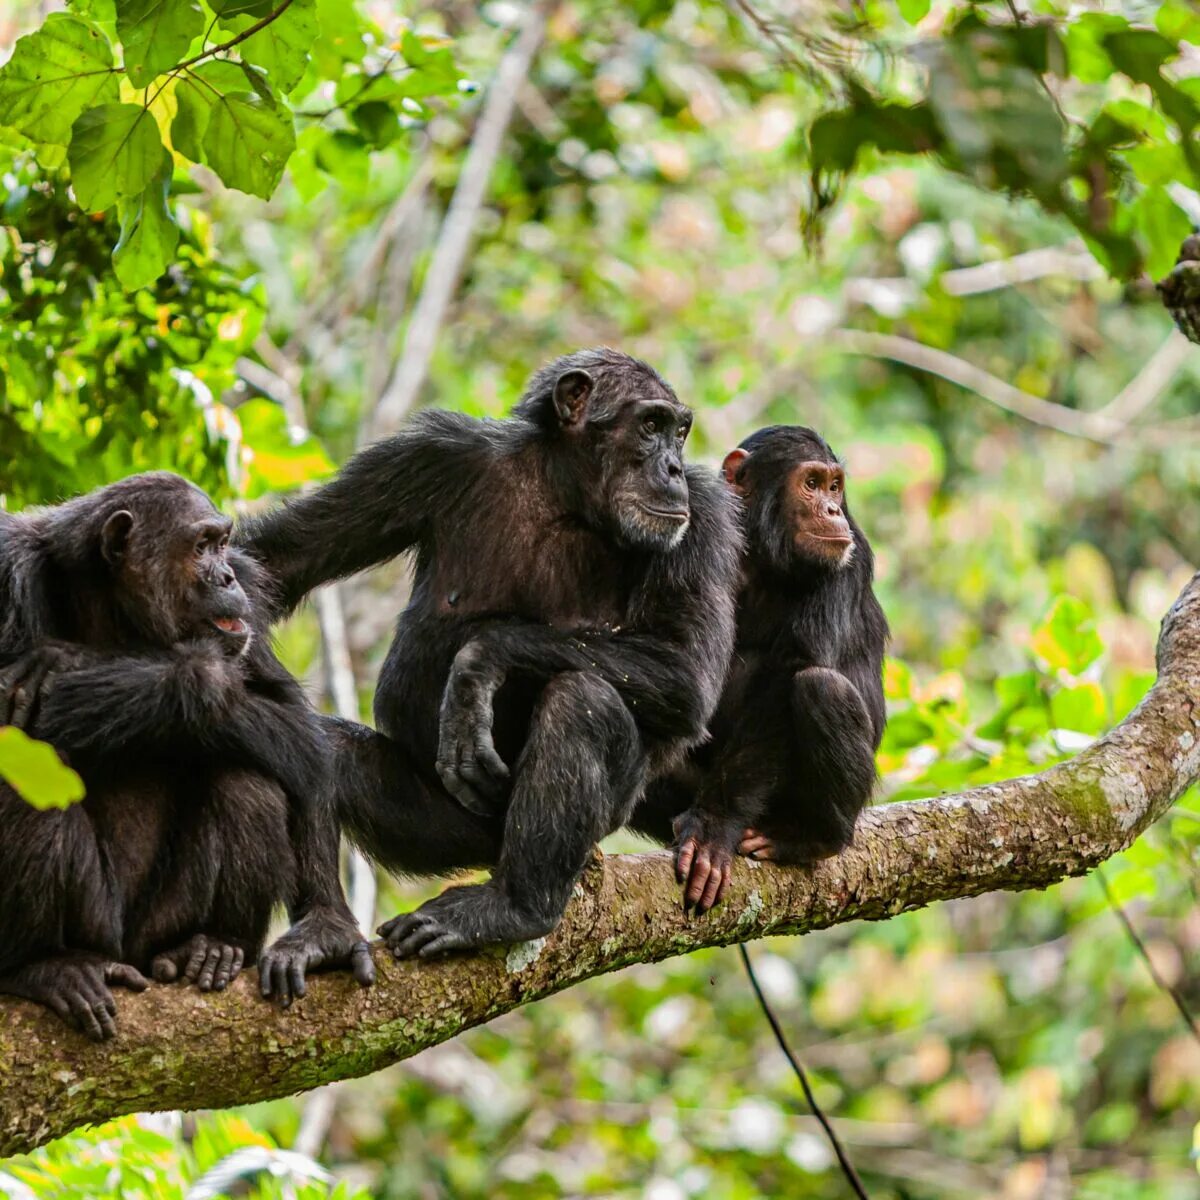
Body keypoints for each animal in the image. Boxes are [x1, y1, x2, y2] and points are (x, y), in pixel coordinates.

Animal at [0, 472, 372, 1036]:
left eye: (222, 544)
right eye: (200, 546)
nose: (226, 577)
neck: (111, 606)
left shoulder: (250, 602)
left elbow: (296, 728)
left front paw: (326, 928)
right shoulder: (7, 569)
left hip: (160, 926)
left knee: (247, 778)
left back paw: (212, 945)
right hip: (96, 927)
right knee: (25, 781)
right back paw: (45, 965)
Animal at [236, 348, 739, 964]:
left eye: (680, 432)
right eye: (650, 425)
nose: (671, 468)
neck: (565, 494)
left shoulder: (706, 517)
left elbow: (687, 672)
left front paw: (477, 667)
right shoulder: (424, 456)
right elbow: (278, 560)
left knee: (582, 700)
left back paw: (515, 907)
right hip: (448, 829)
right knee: (322, 750)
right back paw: (322, 930)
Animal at [633, 427, 888, 912]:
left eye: (834, 487)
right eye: (811, 484)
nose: (832, 510)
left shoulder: (848, 563)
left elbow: (790, 674)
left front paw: (714, 828)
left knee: (821, 688)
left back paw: (811, 838)